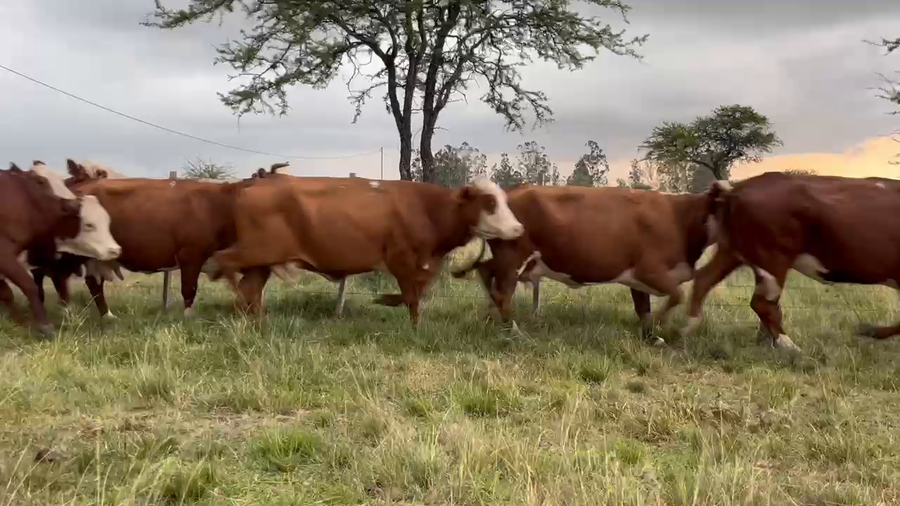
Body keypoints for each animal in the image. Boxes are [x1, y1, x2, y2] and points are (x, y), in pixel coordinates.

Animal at [0, 164, 104, 336]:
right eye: (40, 181)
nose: (74, 204)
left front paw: (19, 321)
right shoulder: (6, 256)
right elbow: (26, 286)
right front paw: (44, 325)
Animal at [30, 160, 291, 318]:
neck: (223, 205)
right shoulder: (191, 255)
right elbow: (189, 289)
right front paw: (188, 318)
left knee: (93, 284)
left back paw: (107, 316)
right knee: (56, 277)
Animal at [205, 176, 524, 323]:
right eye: (490, 203)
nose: (519, 228)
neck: (426, 208)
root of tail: (251, 183)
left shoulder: (423, 265)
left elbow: (416, 294)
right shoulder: (400, 260)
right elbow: (411, 298)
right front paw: (411, 322)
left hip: (262, 261)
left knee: (249, 288)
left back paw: (256, 319)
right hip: (255, 251)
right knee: (221, 263)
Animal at [449, 184, 722, 345]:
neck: (679, 217)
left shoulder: (636, 277)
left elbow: (644, 309)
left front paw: (652, 337)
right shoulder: (650, 271)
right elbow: (677, 295)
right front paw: (660, 329)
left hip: (511, 260)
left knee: (486, 272)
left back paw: (492, 318)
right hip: (513, 259)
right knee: (502, 292)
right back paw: (515, 331)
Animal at [683, 172, 900, 353]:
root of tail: (736, 188)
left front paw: (870, 330)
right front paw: (869, 330)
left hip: (732, 252)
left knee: (703, 280)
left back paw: (689, 328)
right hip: (772, 259)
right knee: (763, 304)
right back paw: (792, 348)